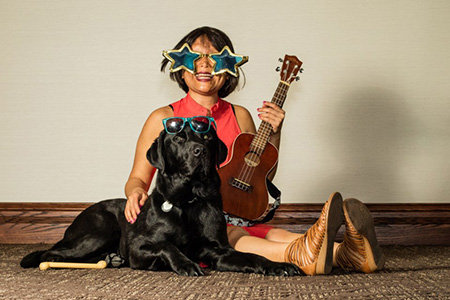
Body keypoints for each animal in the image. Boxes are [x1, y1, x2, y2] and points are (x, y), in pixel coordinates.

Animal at [22, 122, 302, 276]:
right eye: (178, 138)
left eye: (207, 137)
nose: (200, 151)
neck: (189, 201)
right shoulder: (138, 247)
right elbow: (167, 245)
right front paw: (186, 264)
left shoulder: (219, 250)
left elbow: (252, 257)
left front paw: (278, 265)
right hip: (99, 231)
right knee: (51, 252)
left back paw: (111, 259)